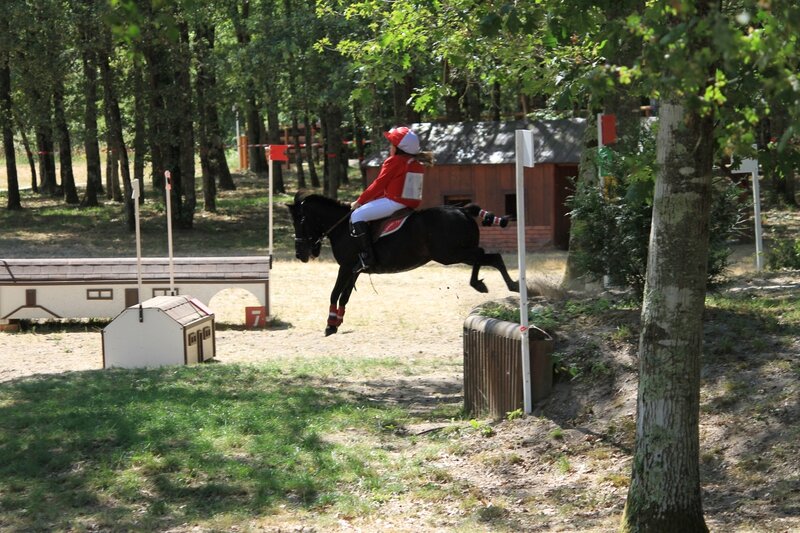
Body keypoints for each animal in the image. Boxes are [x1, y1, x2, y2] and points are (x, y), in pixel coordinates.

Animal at [288, 189, 520, 334]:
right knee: (491, 257)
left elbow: (335, 293)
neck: (343, 226)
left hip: (450, 254)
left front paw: (329, 324)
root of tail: (461, 210)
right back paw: (509, 285)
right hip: (454, 253)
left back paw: (486, 284)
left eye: (300, 221)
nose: (300, 254)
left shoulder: (345, 268)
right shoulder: (354, 270)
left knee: (485, 255)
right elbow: (344, 296)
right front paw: (337, 321)